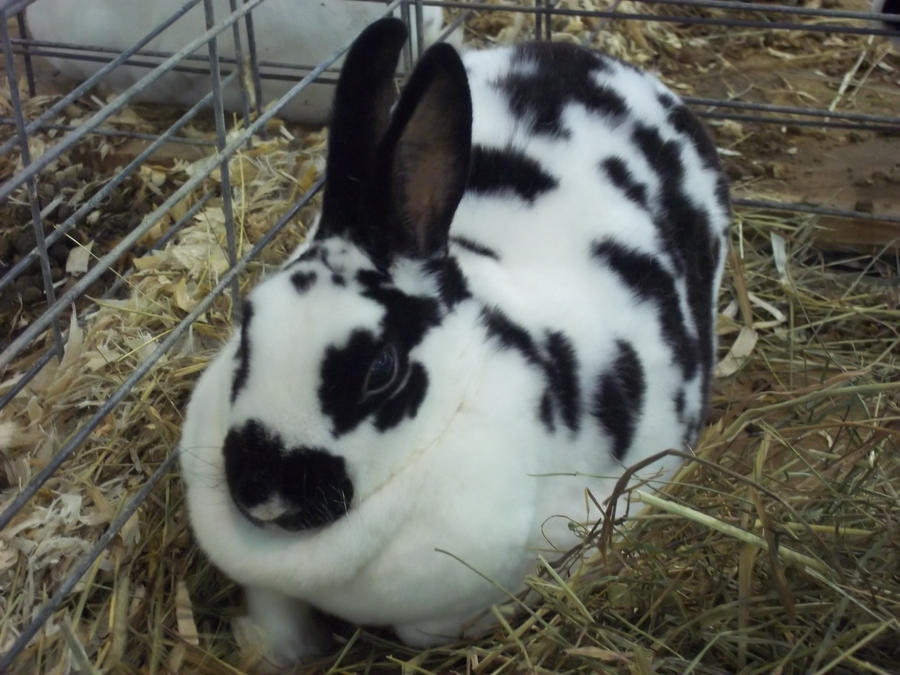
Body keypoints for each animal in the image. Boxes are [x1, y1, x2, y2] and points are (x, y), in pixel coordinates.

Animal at [178, 17, 731, 665]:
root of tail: (600, 61)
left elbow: (428, 630)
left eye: (382, 369)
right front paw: (276, 650)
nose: (262, 492)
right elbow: (275, 618)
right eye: (248, 325)